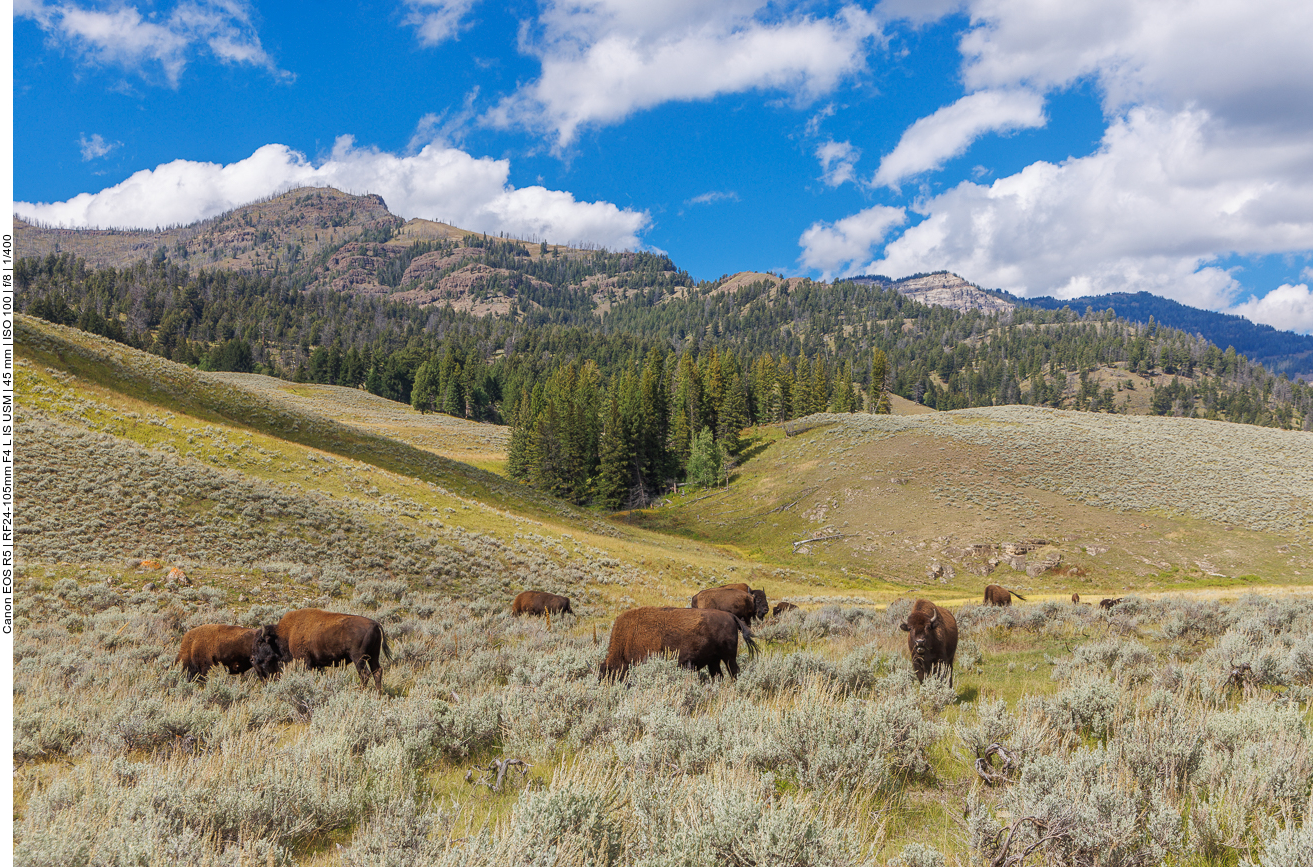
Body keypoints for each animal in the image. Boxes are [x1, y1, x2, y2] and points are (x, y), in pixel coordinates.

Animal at [598, 606, 756, 683]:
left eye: (609, 673)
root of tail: (730, 616)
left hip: (728, 657)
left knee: (734, 672)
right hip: (714, 661)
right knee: (718, 675)